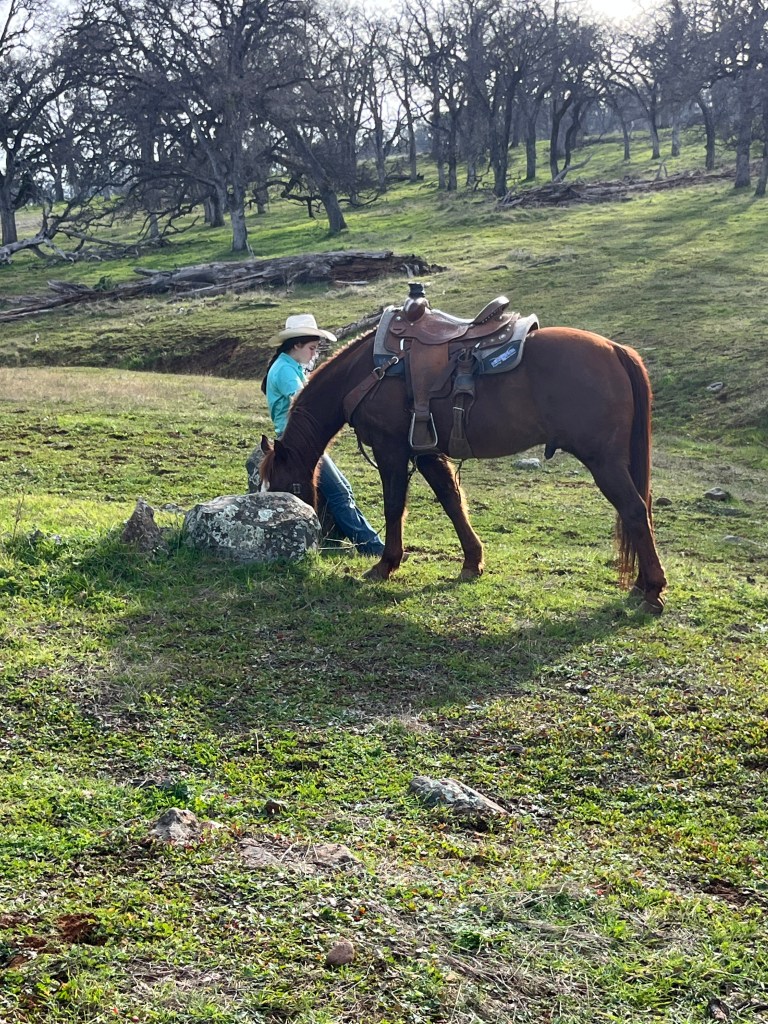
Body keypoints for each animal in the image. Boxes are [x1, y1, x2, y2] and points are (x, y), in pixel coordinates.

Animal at [259, 326, 667, 612]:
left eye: (289, 488)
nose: (288, 550)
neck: (369, 372)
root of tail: (616, 350)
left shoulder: (392, 450)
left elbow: (394, 507)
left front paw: (385, 564)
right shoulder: (425, 453)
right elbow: (452, 501)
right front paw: (472, 562)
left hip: (604, 461)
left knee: (634, 511)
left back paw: (653, 591)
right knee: (641, 512)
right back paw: (641, 585)